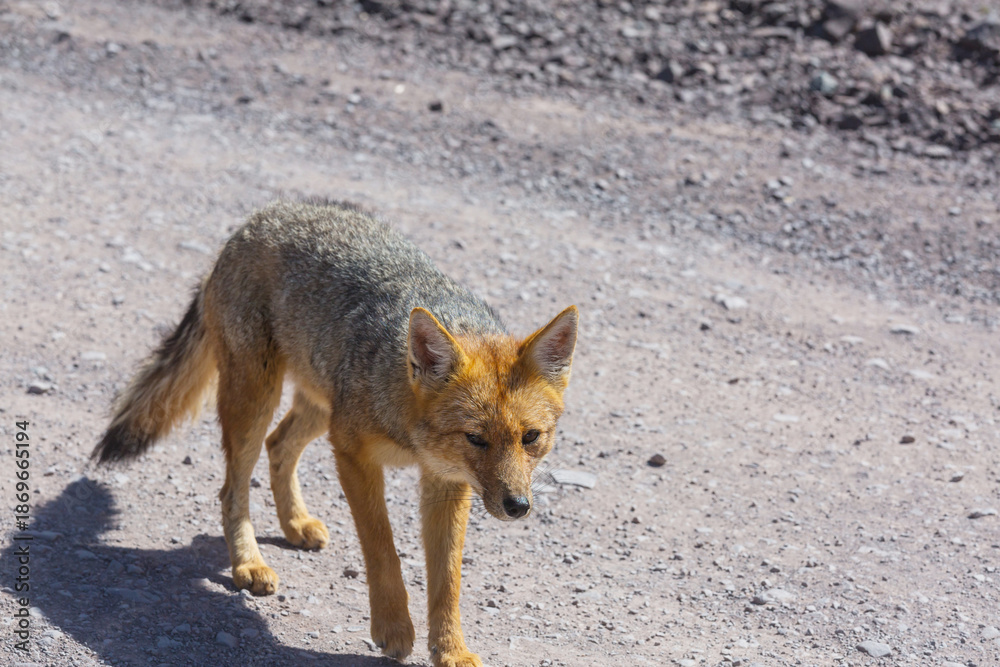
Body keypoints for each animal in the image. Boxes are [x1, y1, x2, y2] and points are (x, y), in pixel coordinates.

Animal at [93, 199, 578, 667]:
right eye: (476, 439)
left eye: (531, 437)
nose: (517, 506)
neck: (409, 429)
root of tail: (265, 214)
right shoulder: (352, 453)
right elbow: (383, 549)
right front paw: (394, 628)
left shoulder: (446, 481)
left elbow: (448, 580)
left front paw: (450, 651)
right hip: (258, 400)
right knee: (233, 487)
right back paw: (248, 563)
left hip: (317, 406)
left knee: (278, 445)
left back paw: (294, 523)